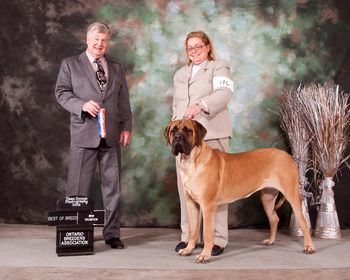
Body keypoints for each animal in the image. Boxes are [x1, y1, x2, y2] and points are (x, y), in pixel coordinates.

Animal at [164, 119, 314, 264]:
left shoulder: (208, 206)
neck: (191, 161)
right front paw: (188, 249)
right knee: (274, 219)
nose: (178, 137)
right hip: (267, 197)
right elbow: (193, 230)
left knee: (303, 222)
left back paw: (309, 247)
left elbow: (207, 233)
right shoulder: (191, 204)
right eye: (174, 130)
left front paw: (204, 255)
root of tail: (288, 156)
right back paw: (270, 240)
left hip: (292, 195)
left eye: (188, 130)